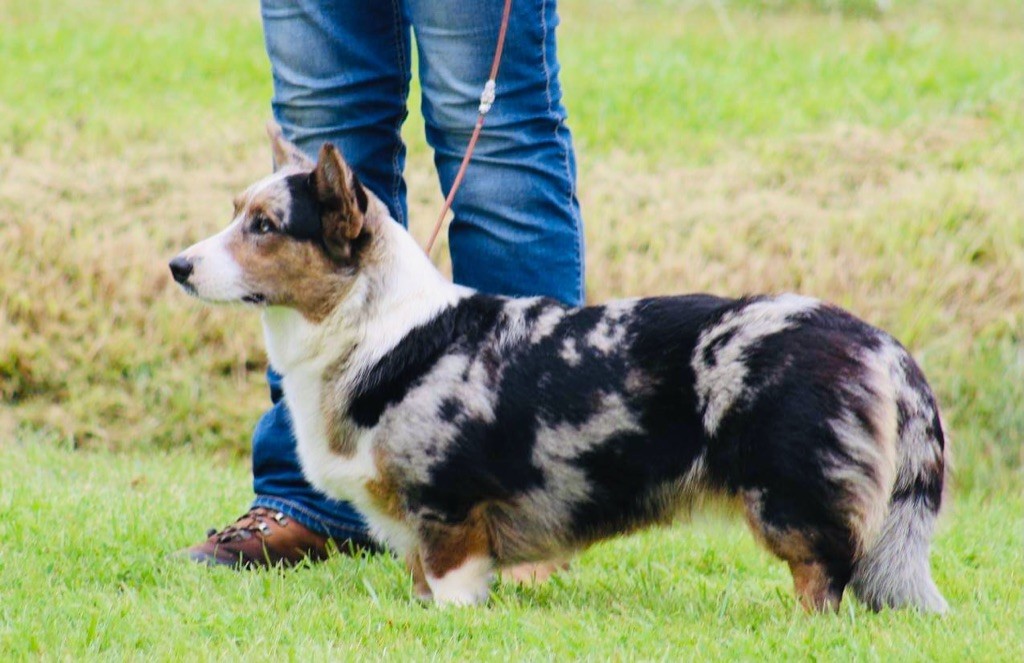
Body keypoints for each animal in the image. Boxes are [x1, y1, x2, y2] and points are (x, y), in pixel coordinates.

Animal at [165, 124, 942, 610]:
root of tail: (874, 339)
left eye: (265, 227)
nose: (177, 266)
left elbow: (451, 583)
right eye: (235, 212)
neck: (375, 330)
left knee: (827, 575)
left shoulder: (448, 510)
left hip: (788, 495)